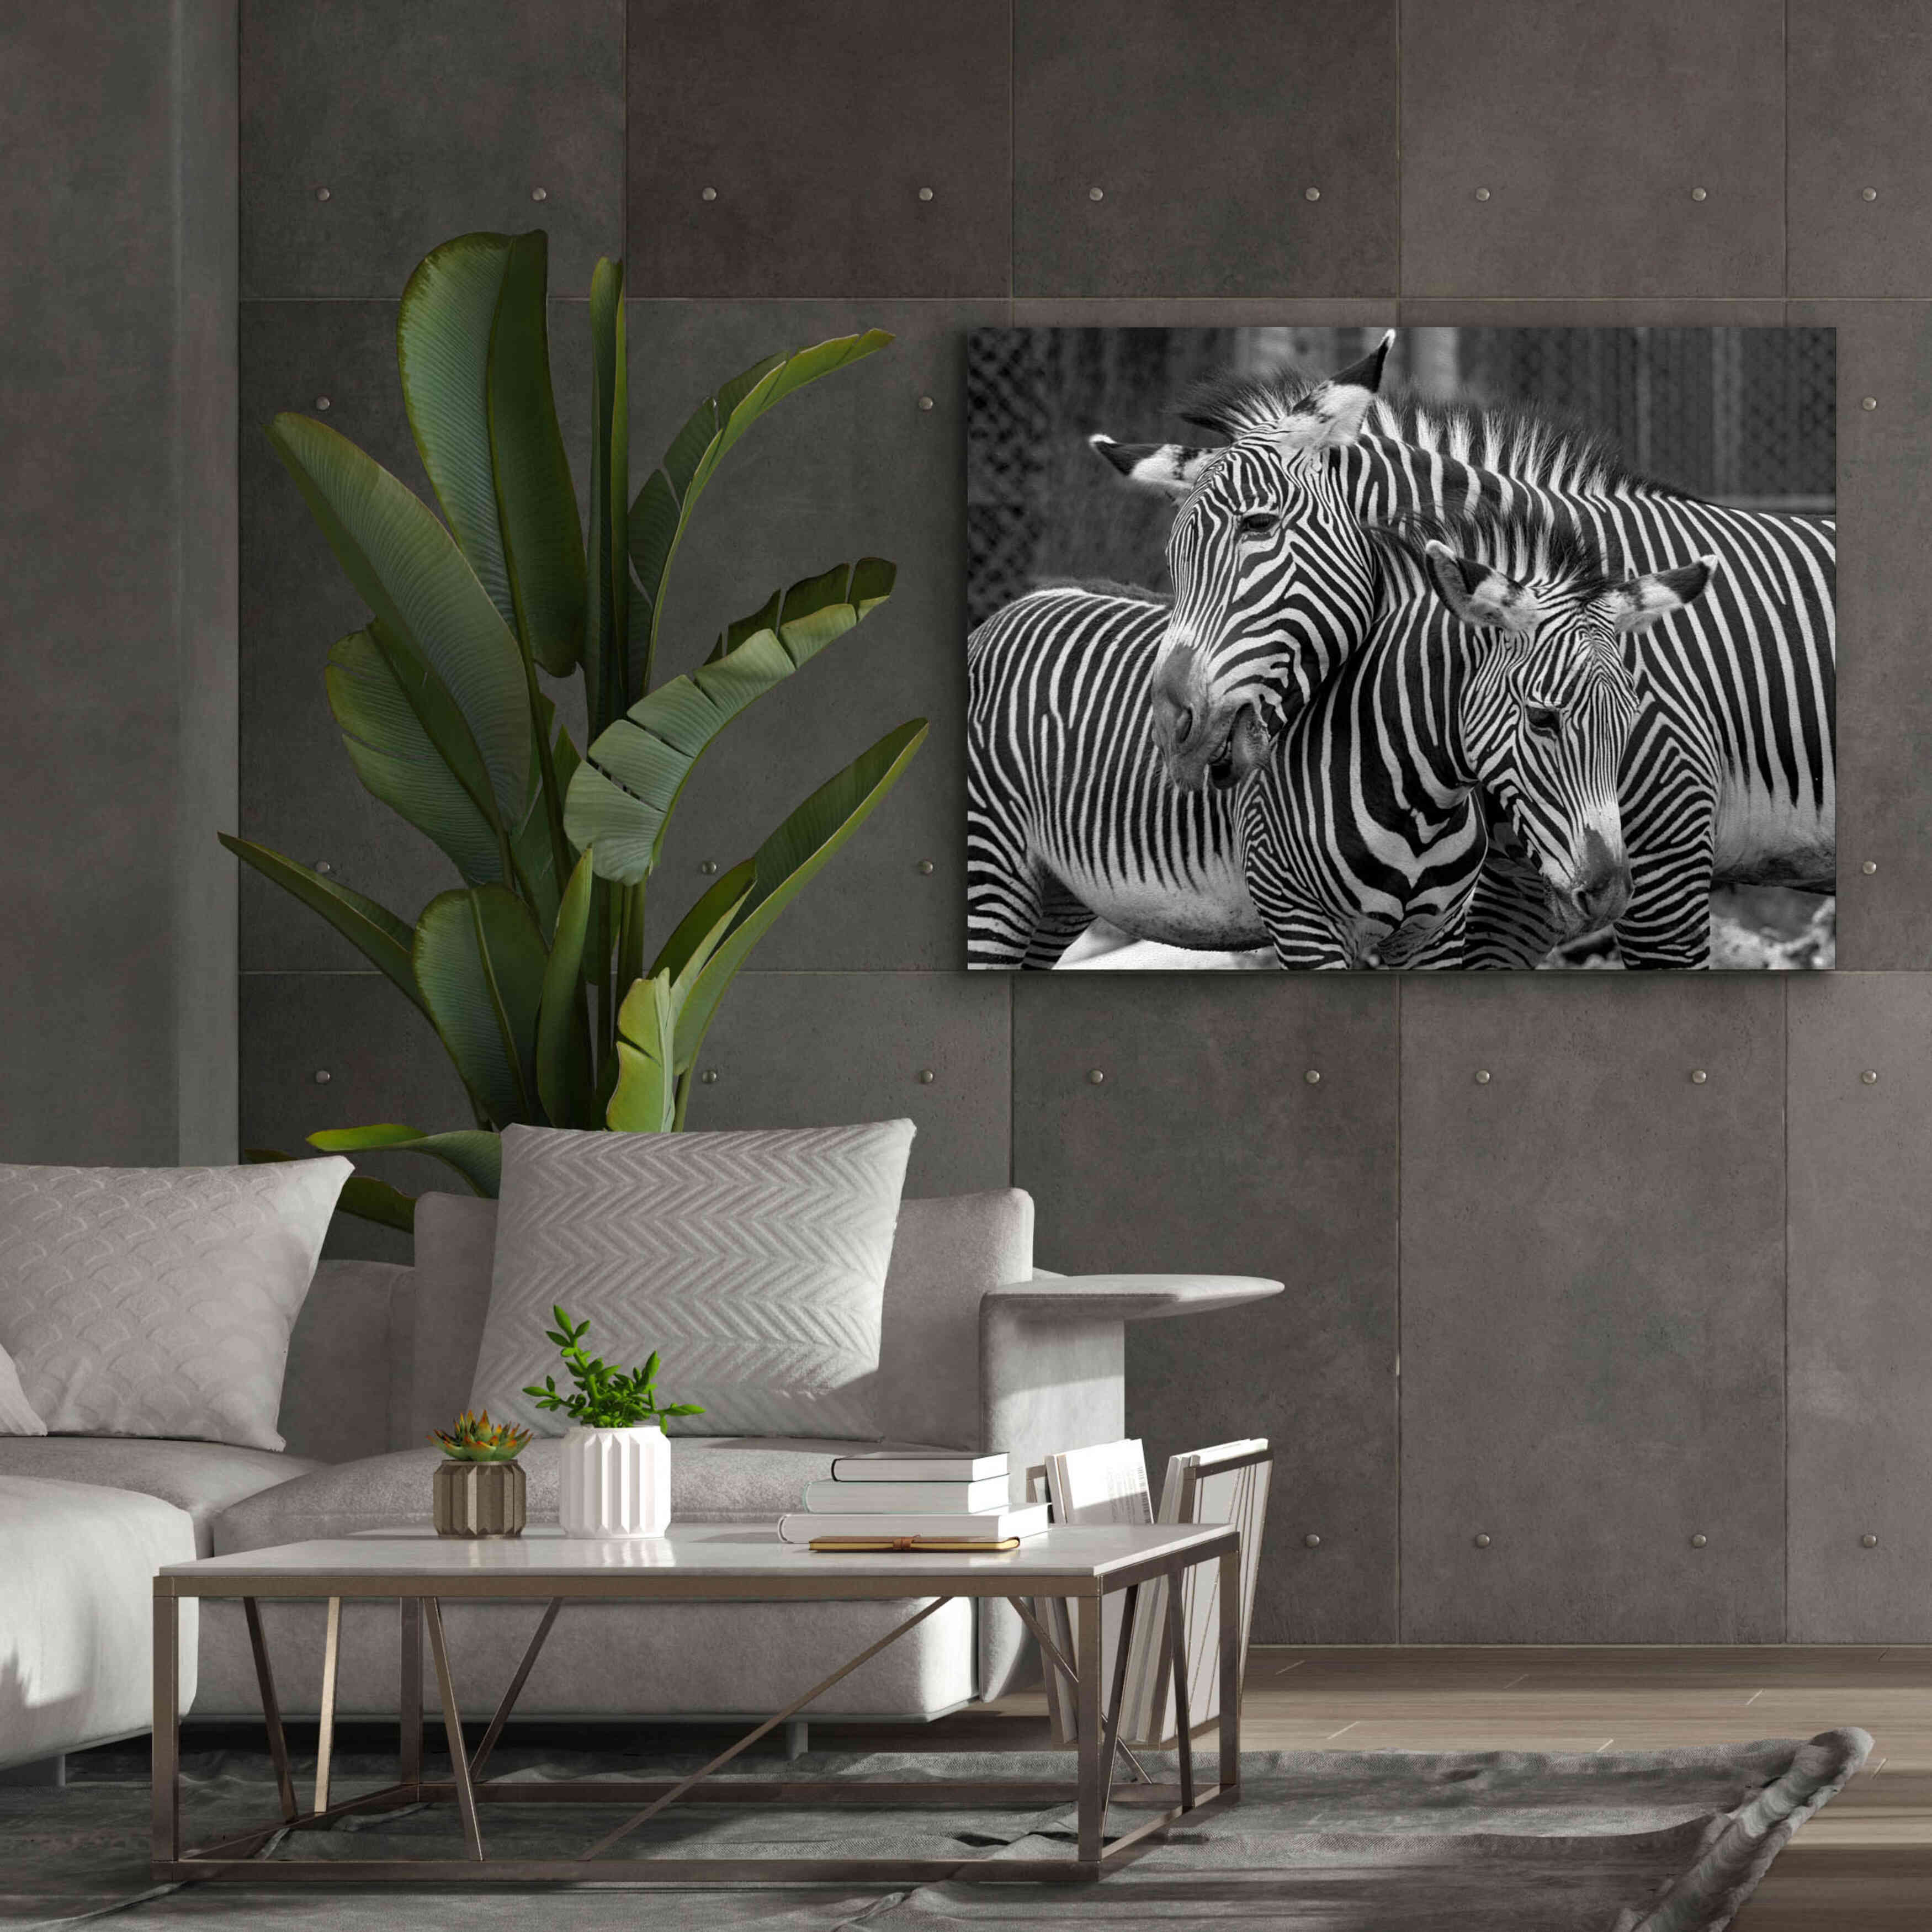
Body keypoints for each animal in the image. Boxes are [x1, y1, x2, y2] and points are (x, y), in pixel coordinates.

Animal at [966, 340, 1393, 969]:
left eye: (1259, 524)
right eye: (1171, 557)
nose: (1170, 729)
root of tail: (1002, 615)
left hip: (1054, 896)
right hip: (990, 871)